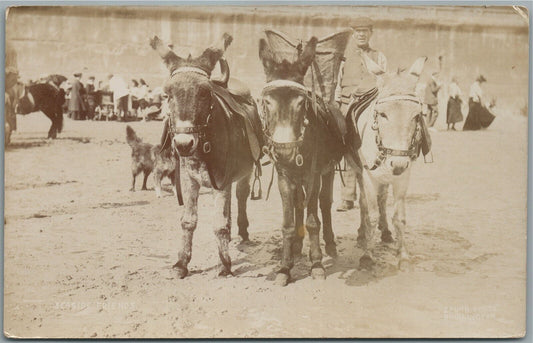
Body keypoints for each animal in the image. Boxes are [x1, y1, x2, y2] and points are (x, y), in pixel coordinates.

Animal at [150, 33, 262, 280]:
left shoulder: (222, 182)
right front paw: (181, 263)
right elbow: (188, 221)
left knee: (241, 196)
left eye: (205, 93)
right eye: (167, 94)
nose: (183, 144)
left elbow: (219, 224)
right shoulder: (188, 180)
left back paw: (242, 232)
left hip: (245, 171)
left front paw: (225, 266)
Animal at [258, 36, 350, 286]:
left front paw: (317, 264)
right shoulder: (284, 176)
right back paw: (298, 246)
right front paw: (284, 268)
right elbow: (288, 224)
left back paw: (329, 245)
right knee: (299, 203)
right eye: (267, 102)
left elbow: (313, 220)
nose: (285, 152)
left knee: (324, 204)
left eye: (301, 102)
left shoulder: (313, 175)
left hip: (327, 172)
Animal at [352, 57, 430, 272]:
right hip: (359, 172)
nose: (398, 163)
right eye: (382, 114)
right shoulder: (369, 176)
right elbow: (370, 214)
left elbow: (399, 218)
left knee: (382, 199)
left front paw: (403, 256)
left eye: (416, 115)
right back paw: (362, 234)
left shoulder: (403, 177)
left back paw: (386, 232)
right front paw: (367, 256)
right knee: (364, 203)